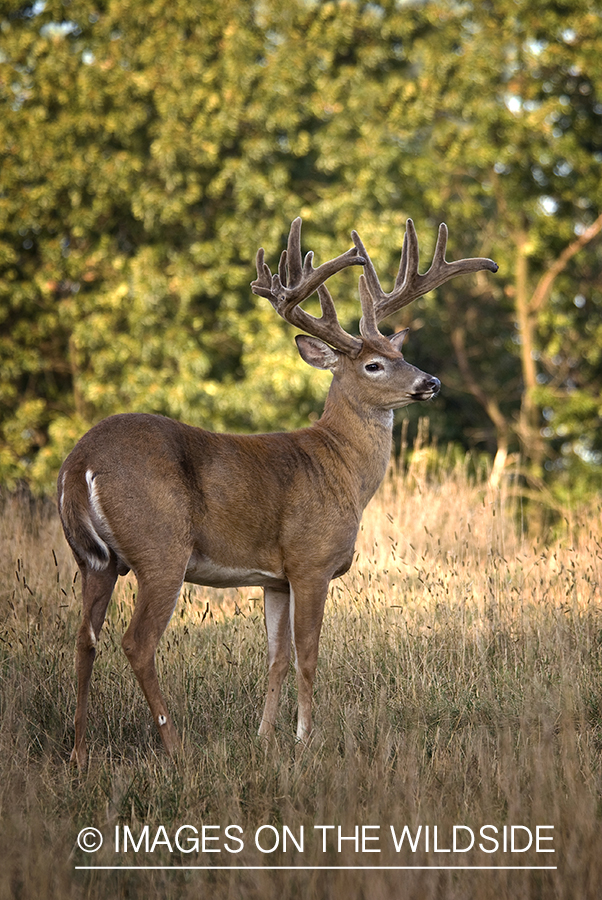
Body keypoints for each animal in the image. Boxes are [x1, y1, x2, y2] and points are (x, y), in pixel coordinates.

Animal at [57, 213, 496, 768]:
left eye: (401, 352)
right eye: (373, 364)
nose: (431, 382)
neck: (340, 467)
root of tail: (80, 462)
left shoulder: (274, 578)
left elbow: (277, 659)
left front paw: (265, 738)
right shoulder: (311, 561)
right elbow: (308, 654)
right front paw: (307, 738)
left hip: (94, 559)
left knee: (84, 640)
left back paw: (79, 752)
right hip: (160, 545)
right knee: (136, 642)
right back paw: (175, 749)